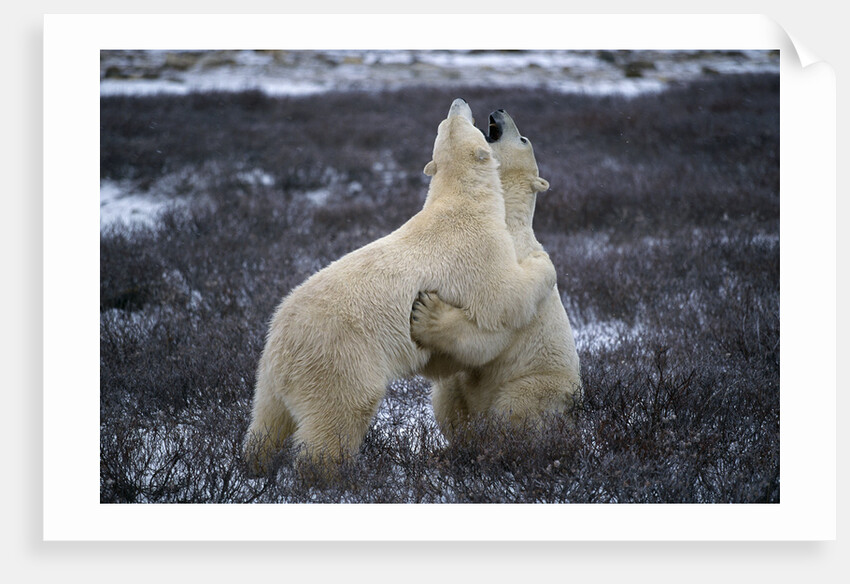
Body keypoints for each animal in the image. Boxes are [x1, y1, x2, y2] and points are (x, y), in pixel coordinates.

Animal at [243, 99, 557, 474]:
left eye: (443, 123)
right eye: (457, 122)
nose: (459, 101)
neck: (459, 201)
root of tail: (281, 342)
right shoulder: (478, 251)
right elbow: (503, 298)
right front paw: (543, 265)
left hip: (268, 375)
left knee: (267, 421)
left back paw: (254, 463)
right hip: (339, 359)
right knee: (338, 418)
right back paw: (333, 474)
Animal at [410, 108, 582, 440]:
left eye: (524, 138)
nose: (499, 111)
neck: (505, 219)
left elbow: (494, 324)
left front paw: (429, 314)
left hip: (536, 384)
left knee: (513, 408)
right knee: (447, 394)